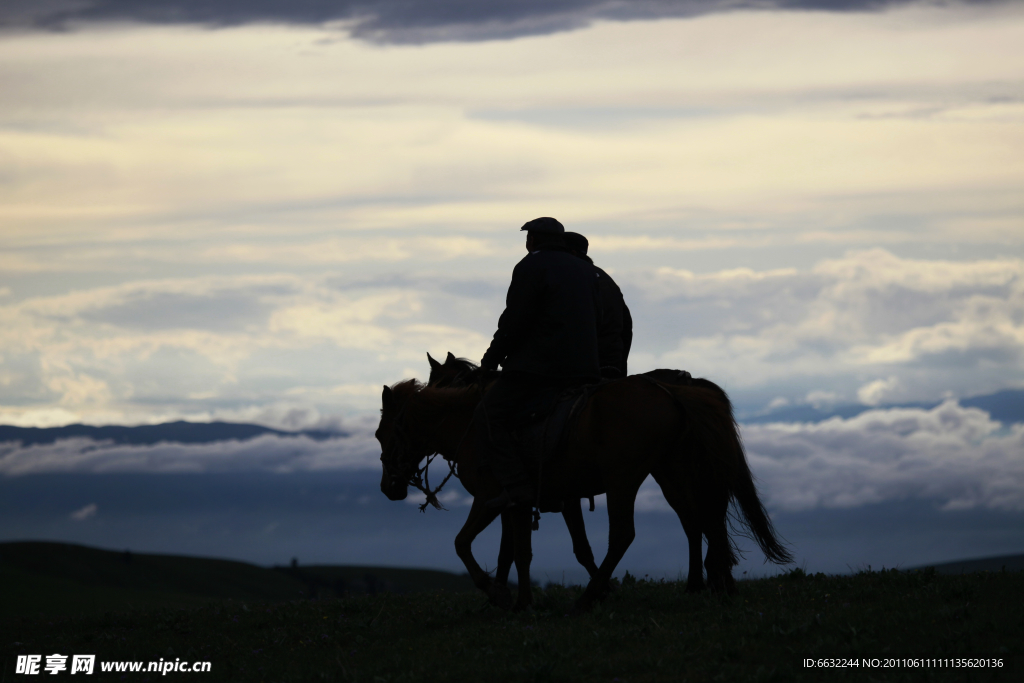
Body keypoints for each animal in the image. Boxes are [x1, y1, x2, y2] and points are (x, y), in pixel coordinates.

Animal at [376, 368, 790, 614]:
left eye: (381, 433)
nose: (388, 488)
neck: (471, 426)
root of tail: (670, 390)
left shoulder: (492, 498)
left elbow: (466, 544)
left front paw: (500, 594)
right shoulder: (524, 502)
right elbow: (521, 552)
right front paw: (515, 599)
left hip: (626, 478)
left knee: (628, 534)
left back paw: (589, 598)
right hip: (671, 471)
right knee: (701, 520)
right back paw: (715, 586)